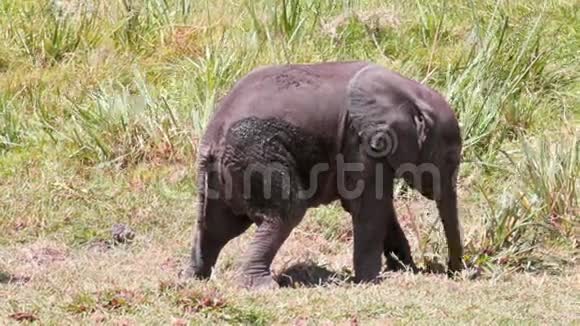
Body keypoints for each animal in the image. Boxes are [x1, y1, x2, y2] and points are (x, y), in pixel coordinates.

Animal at [184, 60, 464, 288]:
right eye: (450, 158)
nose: (456, 273)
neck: (409, 92)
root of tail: (213, 139)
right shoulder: (360, 142)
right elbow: (368, 207)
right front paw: (372, 282)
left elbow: (379, 208)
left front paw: (404, 270)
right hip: (257, 158)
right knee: (285, 214)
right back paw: (261, 286)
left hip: (223, 172)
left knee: (216, 226)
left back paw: (194, 279)